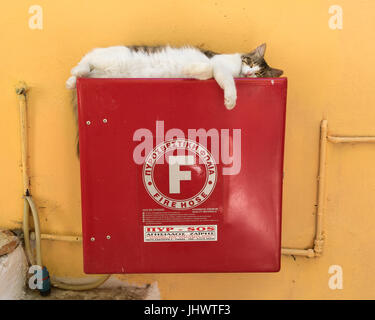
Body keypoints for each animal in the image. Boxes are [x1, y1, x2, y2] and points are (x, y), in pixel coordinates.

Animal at [67, 43, 282, 110]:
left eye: (258, 74)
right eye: (250, 63)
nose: (248, 73)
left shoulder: (215, 69)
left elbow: (205, 73)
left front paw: (189, 70)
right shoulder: (218, 64)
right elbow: (218, 74)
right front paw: (230, 100)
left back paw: (74, 79)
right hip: (111, 58)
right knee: (85, 60)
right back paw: (74, 75)